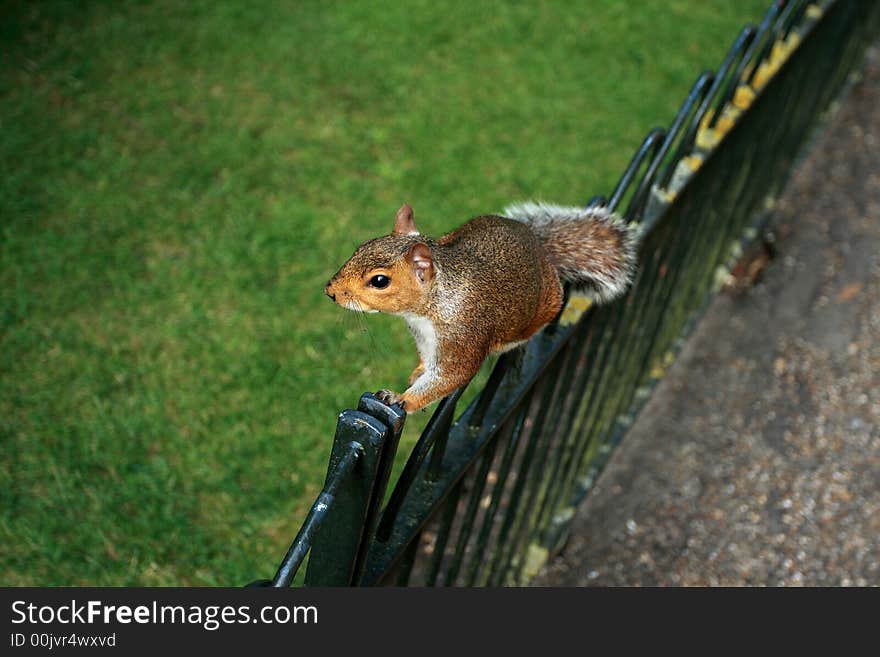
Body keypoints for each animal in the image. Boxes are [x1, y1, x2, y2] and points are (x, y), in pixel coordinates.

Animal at [326, 202, 636, 412]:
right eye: (362, 246)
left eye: (380, 281)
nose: (330, 291)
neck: (430, 307)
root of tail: (541, 249)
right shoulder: (425, 338)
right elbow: (427, 360)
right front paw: (418, 372)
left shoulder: (464, 336)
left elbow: (450, 376)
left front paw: (402, 399)